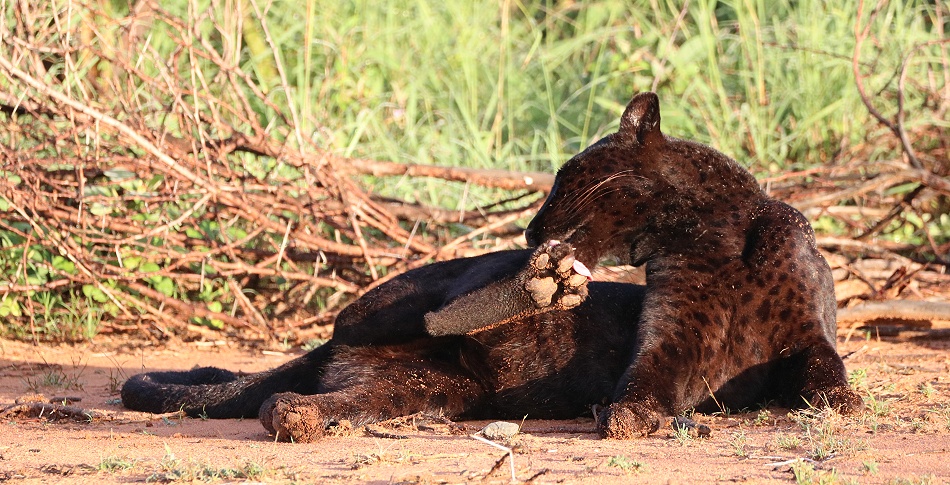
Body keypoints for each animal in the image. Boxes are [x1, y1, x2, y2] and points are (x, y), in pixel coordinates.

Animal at [523, 91, 863, 439]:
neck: (715, 235)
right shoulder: (676, 339)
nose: (529, 230)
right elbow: (644, 375)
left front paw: (840, 398)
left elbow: (825, 366)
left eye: (565, 174)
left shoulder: (807, 335)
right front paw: (628, 413)